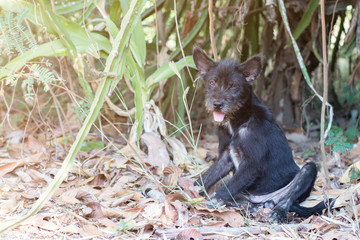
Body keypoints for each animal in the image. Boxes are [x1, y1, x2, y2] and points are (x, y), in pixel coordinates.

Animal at [193, 46, 334, 222]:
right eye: (212, 83)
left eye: (234, 86)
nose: (217, 104)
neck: (240, 121)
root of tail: (260, 200)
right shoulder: (226, 156)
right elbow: (208, 176)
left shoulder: (251, 166)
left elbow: (229, 186)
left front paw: (214, 201)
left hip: (307, 171)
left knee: (288, 197)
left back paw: (277, 212)